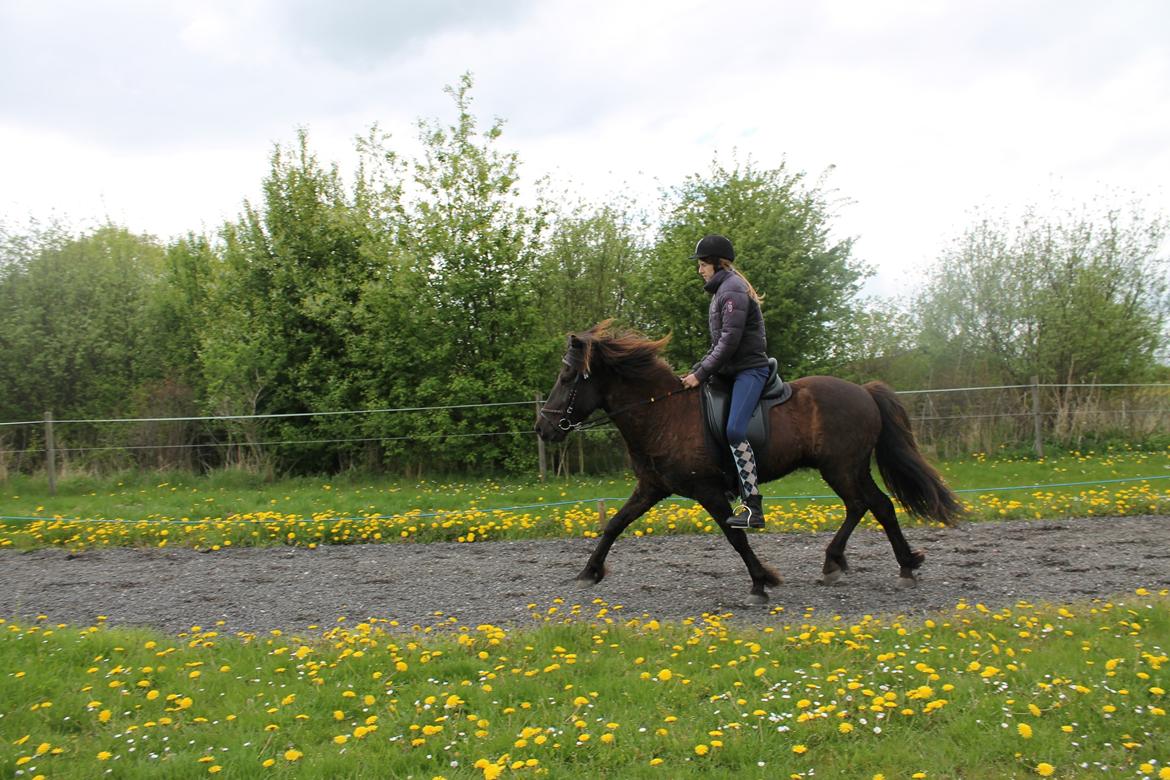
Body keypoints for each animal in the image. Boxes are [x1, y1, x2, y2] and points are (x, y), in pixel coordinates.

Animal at [535, 320, 964, 608]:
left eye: (567, 376)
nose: (543, 427)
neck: (663, 413)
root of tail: (863, 391)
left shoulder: (708, 491)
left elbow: (735, 536)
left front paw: (761, 582)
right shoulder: (652, 487)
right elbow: (614, 524)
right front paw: (589, 572)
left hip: (841, 468)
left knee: (868, 505)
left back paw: (880, 565)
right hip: (849, 468)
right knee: (873, 506)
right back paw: (871, 564)